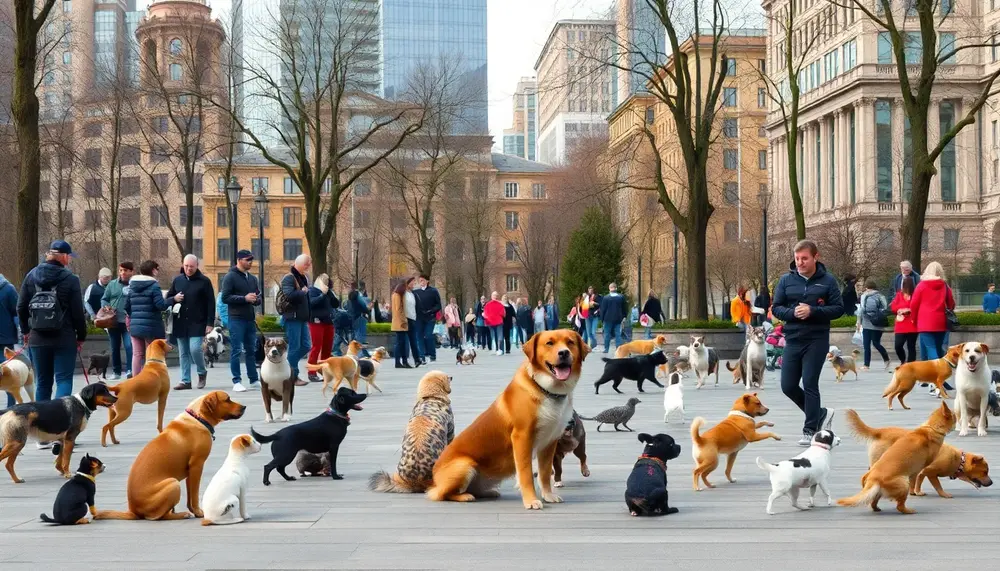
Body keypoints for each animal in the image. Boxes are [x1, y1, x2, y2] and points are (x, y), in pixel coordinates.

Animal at [94, 392, 247, 520]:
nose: (244, 407)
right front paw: (198, 512)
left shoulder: (190, 471)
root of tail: (133, 511)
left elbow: (190, 497)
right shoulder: (197, 466)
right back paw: (181, 514)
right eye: (227, 399)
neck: (198, 418)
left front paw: (194, 510)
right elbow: (195, 495)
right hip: (173, 483)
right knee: (160, 516)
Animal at [426, 328, 588, 512]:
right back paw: (465, 496)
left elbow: (546, 473)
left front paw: (548, 495)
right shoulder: (522, 437)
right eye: (549, 343)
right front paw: (531, 500)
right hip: (464, 465)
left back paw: (487, 492)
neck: (547, 391)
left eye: (570, 342)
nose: (564, 353)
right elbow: (526, 474)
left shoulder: (550, 442)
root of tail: (434, 476)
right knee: (441, 494)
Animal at [844, 408, 992, 498]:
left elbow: (917, 482)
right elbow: (938, 485)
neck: (958, 460)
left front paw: (917, 492)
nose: (991, 483)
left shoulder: (921, 472)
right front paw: (944, 494)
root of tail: (879, 431)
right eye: (985, 472)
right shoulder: (931, 472)